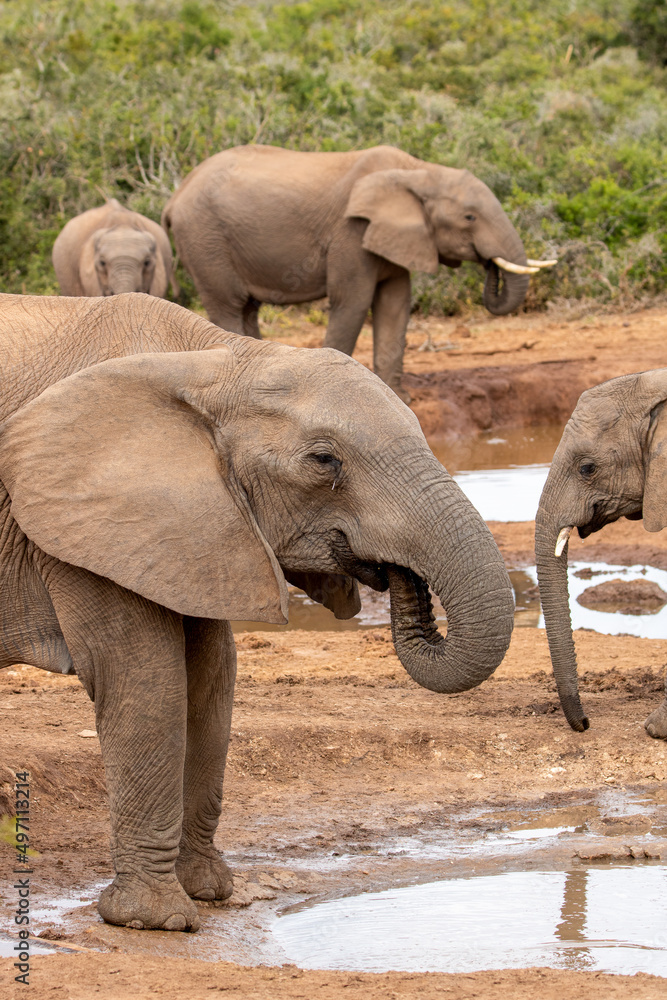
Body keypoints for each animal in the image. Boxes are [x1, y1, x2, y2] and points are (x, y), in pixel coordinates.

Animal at [0, 291, 515, 931]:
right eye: (324, 461)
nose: (398, 575)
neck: (217, 361)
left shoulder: (192, 529)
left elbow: (211, 680)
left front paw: (208, 891)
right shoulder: (79, 520)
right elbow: (145, 681)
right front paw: (156, 921)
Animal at [162, 144, 555, 403]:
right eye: (470, 217)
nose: (490, 265)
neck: (418, 170)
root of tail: (175, 196)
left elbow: (395, 304)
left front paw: (401, 397)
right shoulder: (350, 233)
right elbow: (352, 301)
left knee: (248, 309)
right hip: (204, 239)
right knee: (228, 304)